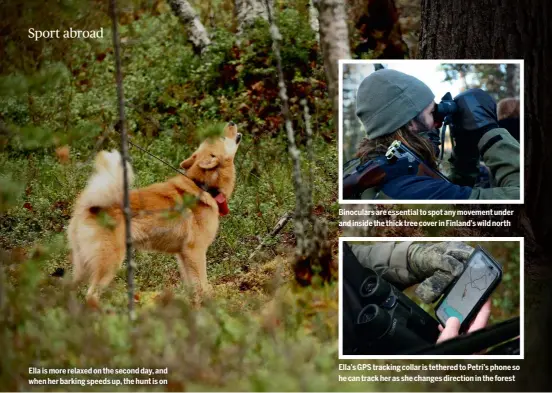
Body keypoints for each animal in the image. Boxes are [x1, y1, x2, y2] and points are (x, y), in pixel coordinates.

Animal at [68, 121, 240, 304]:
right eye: (222, 137)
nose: (231, 122)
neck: (203, 186)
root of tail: (88, 207)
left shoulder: (183, 256)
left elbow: (193, 288)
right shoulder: (196, 252)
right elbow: (203, 286)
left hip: (82, 266)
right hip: (109, 262)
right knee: (91, 295)